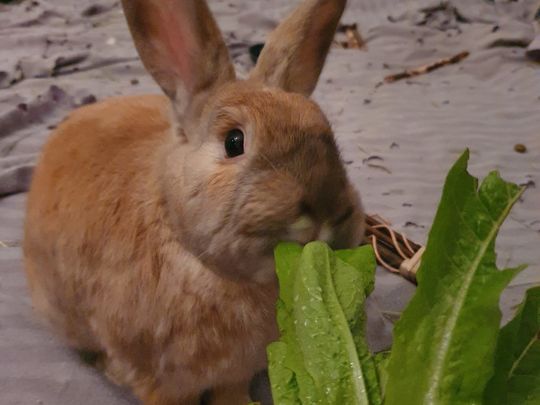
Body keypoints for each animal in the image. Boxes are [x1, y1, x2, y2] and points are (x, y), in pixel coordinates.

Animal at [24, 0, 362, 402]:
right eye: (234, 142)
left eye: (328, 133)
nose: (327, 210)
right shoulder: (159, 378)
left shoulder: (236, 372)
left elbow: (231, 392)